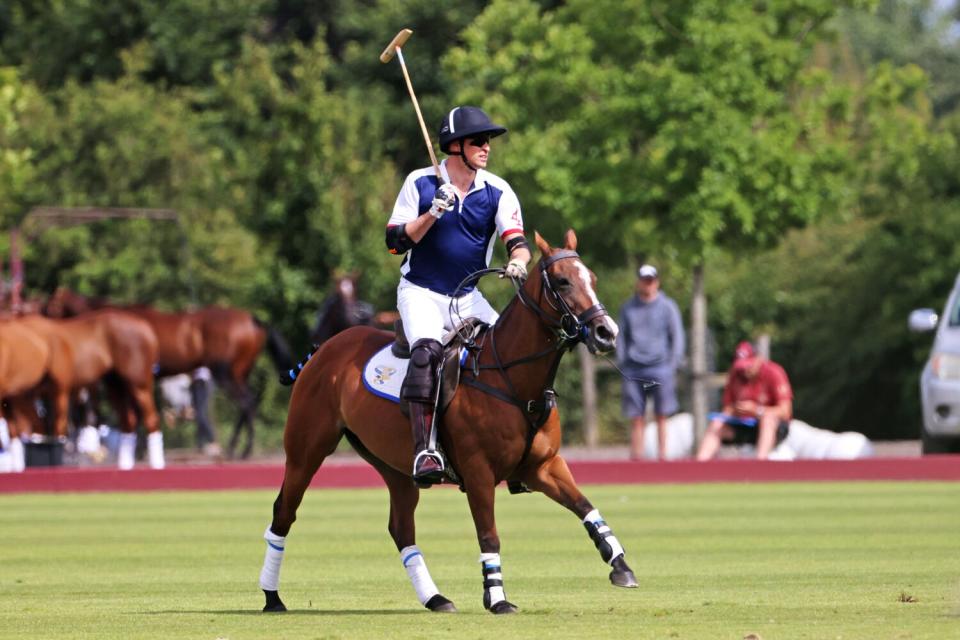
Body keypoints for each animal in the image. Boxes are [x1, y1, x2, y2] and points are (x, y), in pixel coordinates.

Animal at [255, 231, 636, 616]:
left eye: (592, 279)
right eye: (562, 281)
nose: (606, 332)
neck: (511, 378)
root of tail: (324, 348)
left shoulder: (543, 466)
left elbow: (585, 506)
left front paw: (620, 564)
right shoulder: (479, 471)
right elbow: (489, 534)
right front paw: (497, 598)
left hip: (394, 465)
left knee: (401, 527)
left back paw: (435, 598)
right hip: (306, 449)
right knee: (283, 511)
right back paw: (272, 597)